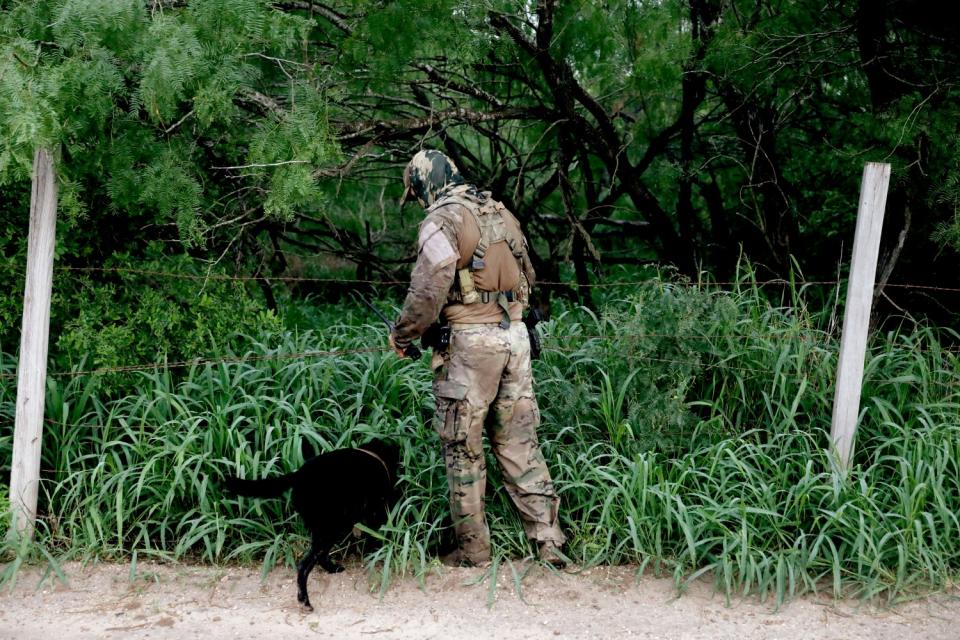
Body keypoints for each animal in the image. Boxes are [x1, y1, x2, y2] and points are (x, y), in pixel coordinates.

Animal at [225, 440, 398, 608]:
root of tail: (298, 475)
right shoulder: (375, 512)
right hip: (331, 529)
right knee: (304, 566)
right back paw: (305, 601)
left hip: (324, 529)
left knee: (319, 557)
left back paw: (332, 570)